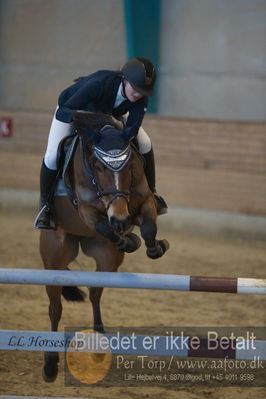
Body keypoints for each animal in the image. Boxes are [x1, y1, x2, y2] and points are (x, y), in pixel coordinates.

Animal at [39, 111, 168, 382]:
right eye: (98, 167)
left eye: (129, 166)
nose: (121, 219)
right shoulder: (87, 210)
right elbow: (105, 226)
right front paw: (129, 239)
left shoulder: (144, 200)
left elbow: (149, 227)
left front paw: (153, 247)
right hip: (54, 256)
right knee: (55, 308)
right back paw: (50, 364)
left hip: (107, 259)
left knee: (94, 291)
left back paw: (99, 342)